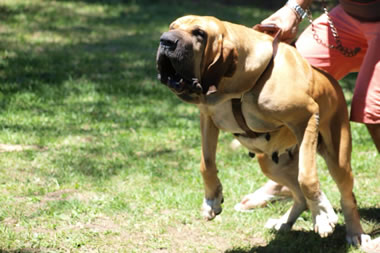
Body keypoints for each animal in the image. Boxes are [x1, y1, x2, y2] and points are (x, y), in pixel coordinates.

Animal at [156, 15, 370, 245]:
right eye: (172, 27)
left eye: (199, 33)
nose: (165, 40)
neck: (236, 87)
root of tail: (333, 83)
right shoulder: (208, 118)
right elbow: (206, 164)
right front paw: (212, 199)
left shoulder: (307, 116)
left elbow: (307, 177)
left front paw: (321, 215)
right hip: (270, 164)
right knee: (298, 195)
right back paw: (285, 222)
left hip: (337, 159)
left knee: (346, 196)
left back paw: (355, 233)